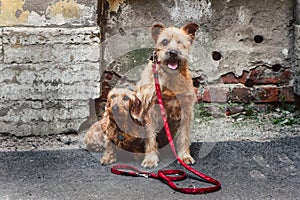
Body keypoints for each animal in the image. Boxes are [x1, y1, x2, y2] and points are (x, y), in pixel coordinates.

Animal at [133, 22, 199, 168]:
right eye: (164, 41)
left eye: (180, 43)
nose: (173, 53)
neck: (170, 78)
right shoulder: (150, 112)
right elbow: (150, 138)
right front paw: (150, 159)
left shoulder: (186, 111)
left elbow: (183, 136)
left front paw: (184, 156)